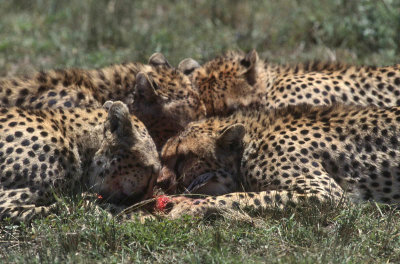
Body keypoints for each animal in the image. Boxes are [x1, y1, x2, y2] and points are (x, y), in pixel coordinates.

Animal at [157, 103, 400, 219]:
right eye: (163, 157)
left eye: (183, 157)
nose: (160, 182)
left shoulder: (327, 194)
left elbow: (242, 196)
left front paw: (187, 207)